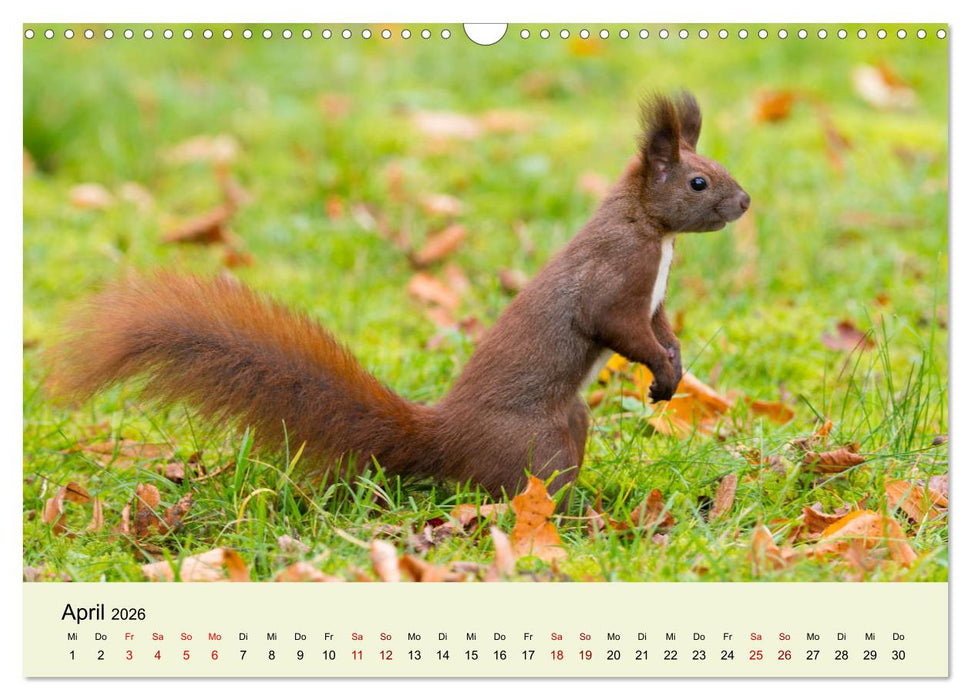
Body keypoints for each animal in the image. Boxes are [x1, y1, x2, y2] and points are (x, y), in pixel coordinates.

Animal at [47, 92, 750, 500]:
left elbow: (662, 328)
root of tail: (444, 438)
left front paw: (674, 369)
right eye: (698, 182)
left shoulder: (653, 300)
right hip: (537, 443)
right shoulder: (612, 279)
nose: (744, 203)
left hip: (570, 421)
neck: (649, 228)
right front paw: (660, 370)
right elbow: (618, 327)